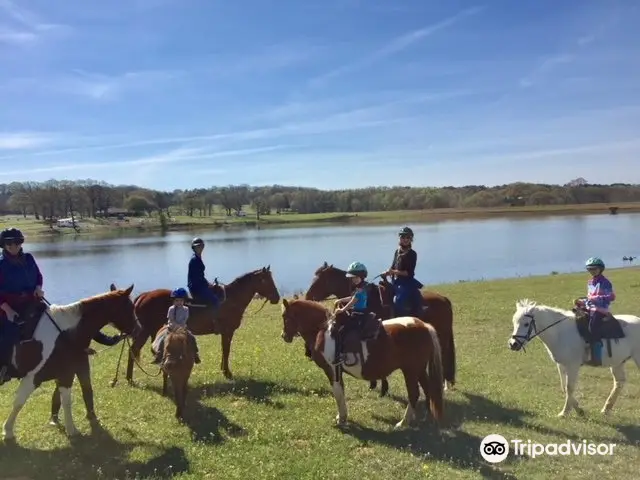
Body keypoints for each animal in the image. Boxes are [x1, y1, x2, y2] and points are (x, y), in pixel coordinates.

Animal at [2, 284, 138, 442]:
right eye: (130, 307)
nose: (136, 329)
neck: (63, 334)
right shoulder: (34, 377)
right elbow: (19, 402)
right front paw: (8, 431)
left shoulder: (65, 374)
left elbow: (66, 401)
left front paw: (71, 429)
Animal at [125, 264, 280, 384]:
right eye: (266, 280)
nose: (277, 298)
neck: (232, 299)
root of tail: (143, 296)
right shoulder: (228, 331)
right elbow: (226, 350)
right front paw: (227, 372)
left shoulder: (225, 333)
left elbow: (224, 350)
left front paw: (223, 369)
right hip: (146, 331)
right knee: (133, 350)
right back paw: (130, 378)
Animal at [282, 298, 442, 430]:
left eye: (285, 317)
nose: (284, 336)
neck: (322, 331)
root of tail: (424, 325)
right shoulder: (338, 371)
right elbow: (341, 391)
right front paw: (341, 416)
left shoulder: (331, 369)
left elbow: (338, 392)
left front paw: (342, 419)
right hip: (419, 370)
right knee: (427, 389)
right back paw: (426, 418)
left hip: (410, 370)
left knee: (414, 393)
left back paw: (403, 422)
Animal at [304, 262, 456, 394]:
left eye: (319, 280)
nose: (307, 297)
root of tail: (444, 299)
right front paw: (375, 384)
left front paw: (380, 386)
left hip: (441, 338)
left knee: (443, 357)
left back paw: (444, 385)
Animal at [510, 300, 640, 416]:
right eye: (514, 322)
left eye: (526, 324)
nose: (513, 344)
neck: (560, 333)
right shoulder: (561, 365)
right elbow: (564, 387)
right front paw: (578, 409)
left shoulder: (573, 366)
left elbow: (569, 387)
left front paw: (565, 412)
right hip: (617, 363)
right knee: (619, 383)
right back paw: (606, 409)